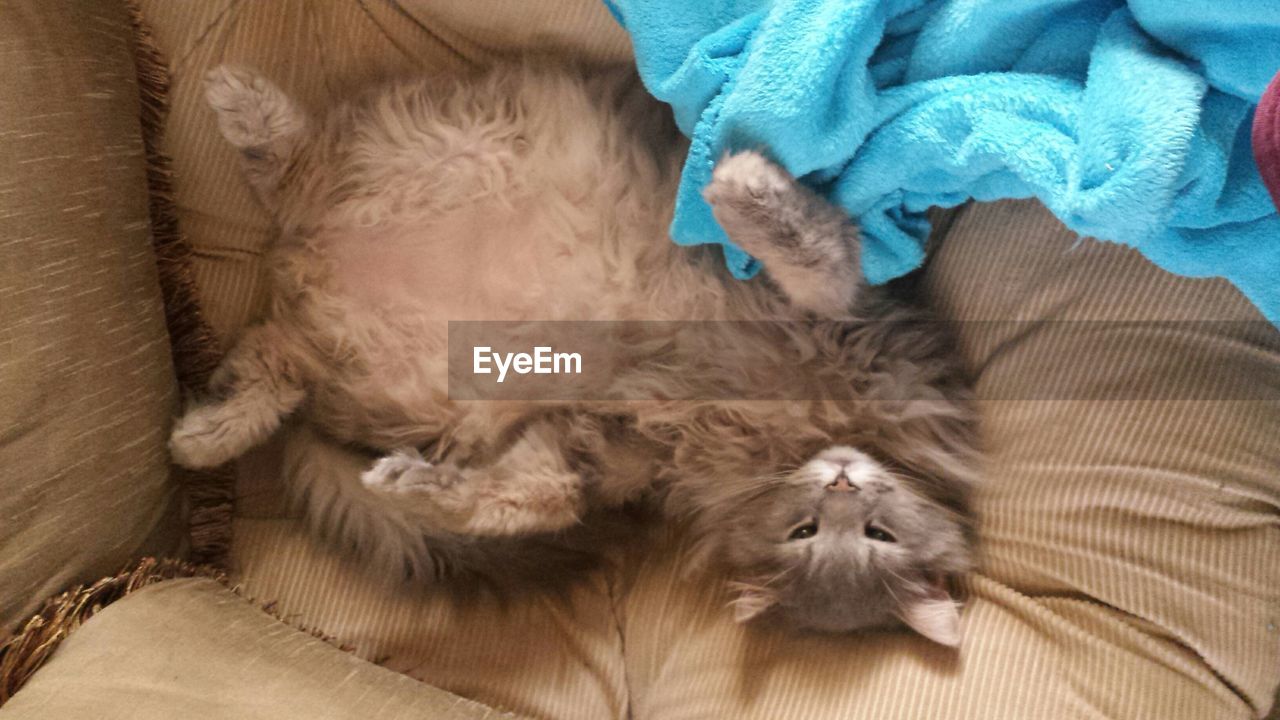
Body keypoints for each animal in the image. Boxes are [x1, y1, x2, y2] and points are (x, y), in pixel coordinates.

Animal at [172, 63, 977, 645]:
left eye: (874, 537)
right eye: (806, 531)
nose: (841, 481)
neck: (775, 438)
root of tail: (301, 266)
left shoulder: (611, 450)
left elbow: (536, 498)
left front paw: (414, 485)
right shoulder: (838, 304)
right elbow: (814, 249)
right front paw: (742, 187)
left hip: (362, 363)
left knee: (274, 363)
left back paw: (204, 433)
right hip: (438, 148)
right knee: (295, 159)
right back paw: (242, 101)